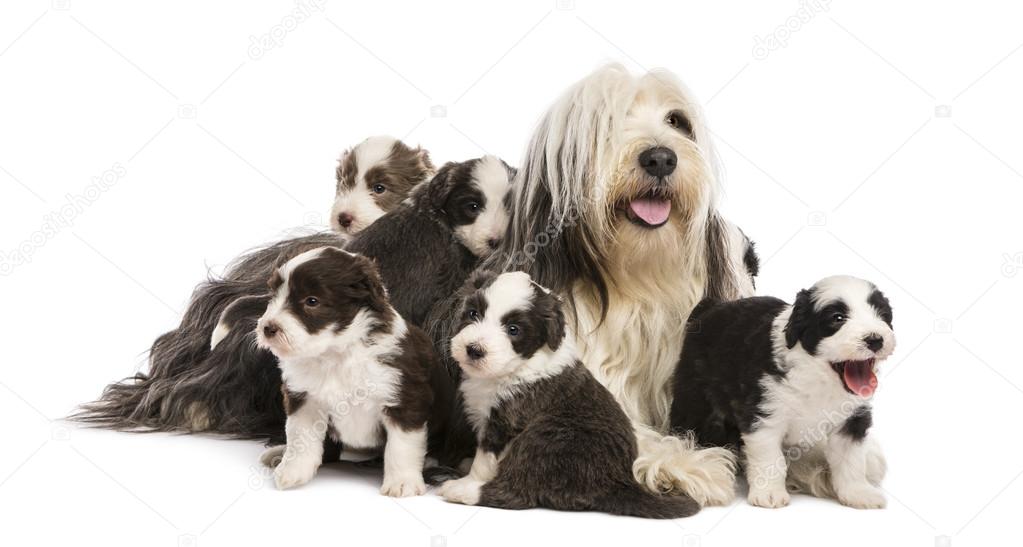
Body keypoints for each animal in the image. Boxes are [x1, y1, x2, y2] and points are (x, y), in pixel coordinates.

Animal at [255, 248, 448, 496]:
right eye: (273, 296)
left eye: (312, 301)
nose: (268, 328)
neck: (336, 353)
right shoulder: (304, 398)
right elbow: (300, 436)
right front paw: (292, 470)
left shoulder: (405, 398)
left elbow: (401, 446)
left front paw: (402, 482)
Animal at [435, 271, 699, 519]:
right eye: (473, 314)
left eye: (513, 330)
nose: (474, 350)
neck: (516, 366)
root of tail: (617, 482)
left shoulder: (505, 421)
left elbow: (484, 459)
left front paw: (471, 478)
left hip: (545, 440)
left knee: (519, 493)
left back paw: (462, 491)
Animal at [671, 276, 896, 511]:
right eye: (837, 318)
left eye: (883, 315)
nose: (875, 340)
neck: (818, 376)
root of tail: (711, 307)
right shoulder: (765, 415)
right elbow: (771, 459)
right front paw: (769, 493)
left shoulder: (851, 420)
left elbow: (850, 460)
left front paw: (857, 493)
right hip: (694, 397)